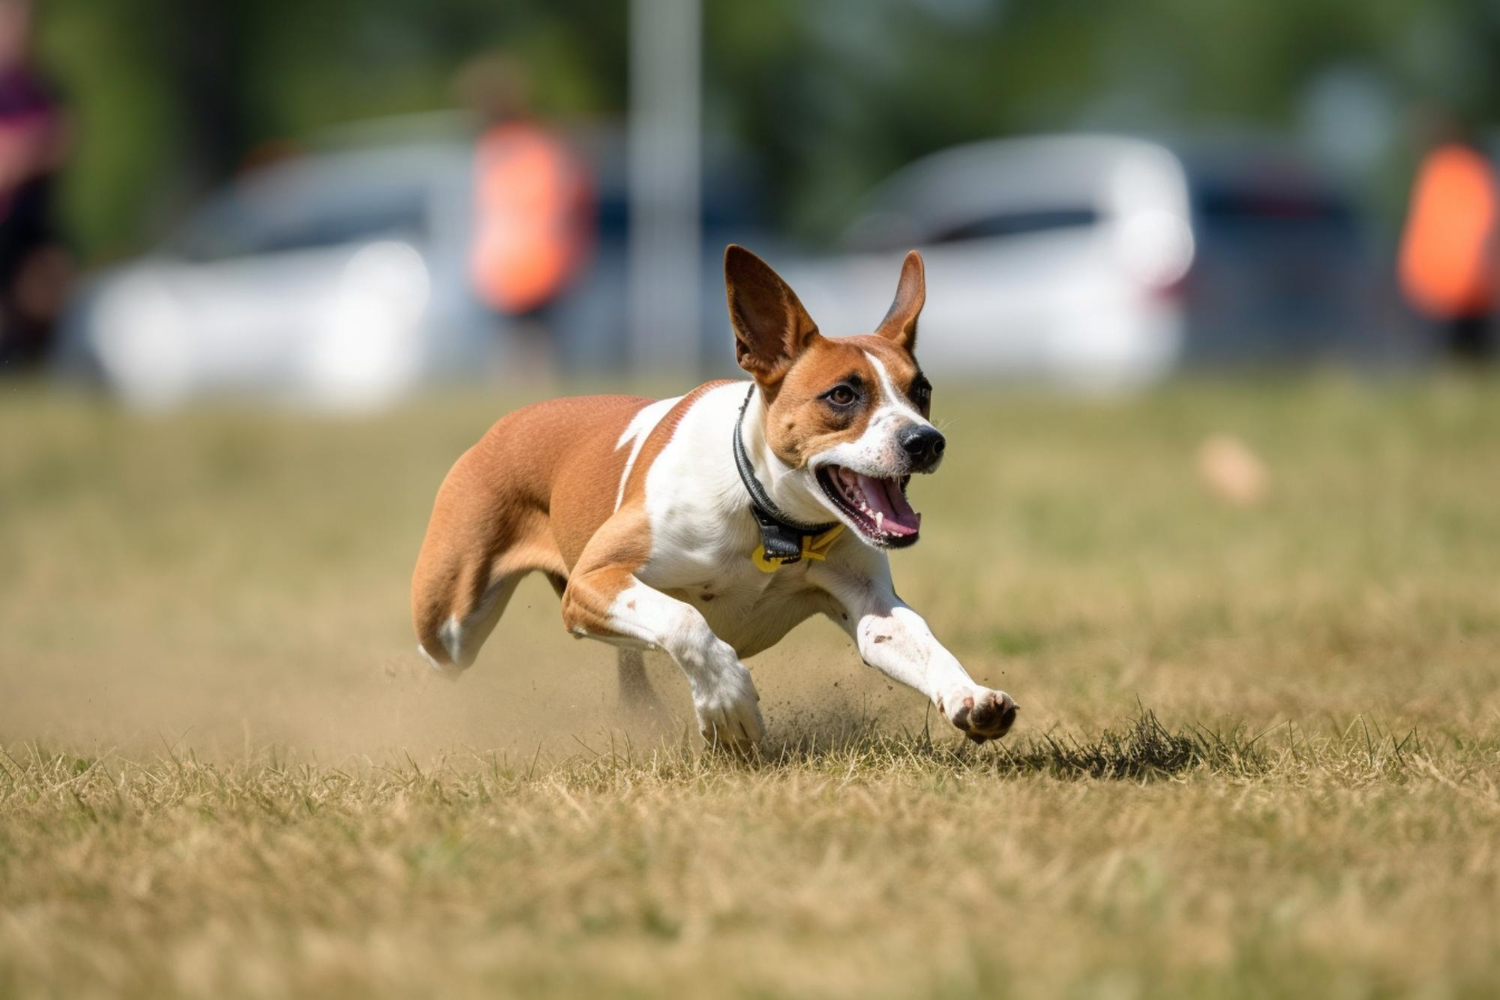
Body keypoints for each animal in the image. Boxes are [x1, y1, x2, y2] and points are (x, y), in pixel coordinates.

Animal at [414, 245, 1020, 746]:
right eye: (843, 395)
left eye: (922, 391)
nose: (926, 440)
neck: (768, 520)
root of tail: (506, 423)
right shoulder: (596, 578)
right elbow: (687, 622)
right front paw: (729, 707)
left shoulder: (872, 605)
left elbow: (917, 639)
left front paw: (971, 696)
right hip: (451, 621)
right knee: (441, 649)